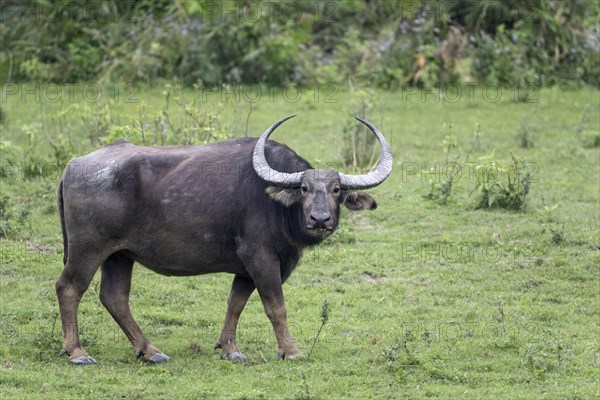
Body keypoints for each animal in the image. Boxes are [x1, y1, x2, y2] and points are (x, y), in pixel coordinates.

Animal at [55, 114, 394, 364]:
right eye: (304, 189)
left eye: (336, 190)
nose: (320, 220)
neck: (275, 204)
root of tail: (73, 165)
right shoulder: (261, 258)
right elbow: (276, 306)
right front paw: (290, 350)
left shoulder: (245, 268)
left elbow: (236, 302)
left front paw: (229, 348)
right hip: (88, 249)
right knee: (69, 287)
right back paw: (78, 352)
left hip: (119, 255)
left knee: (114, 297)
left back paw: (150, 351)